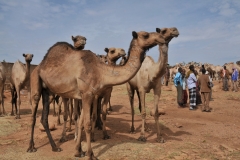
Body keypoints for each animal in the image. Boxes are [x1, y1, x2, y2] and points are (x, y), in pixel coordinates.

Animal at [27, 28, 167, 160]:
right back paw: (31, 147)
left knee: (44, 118)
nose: (161, 37)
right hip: (36, 84)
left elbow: (82, 122)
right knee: (33, 116)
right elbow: (87, 124)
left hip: (48, 92)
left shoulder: (87, 95)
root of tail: (39, 66)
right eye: (145, 35)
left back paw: (55, 147)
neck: (100, 71)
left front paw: (78, 151)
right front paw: (90, 154)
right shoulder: (87, 94)